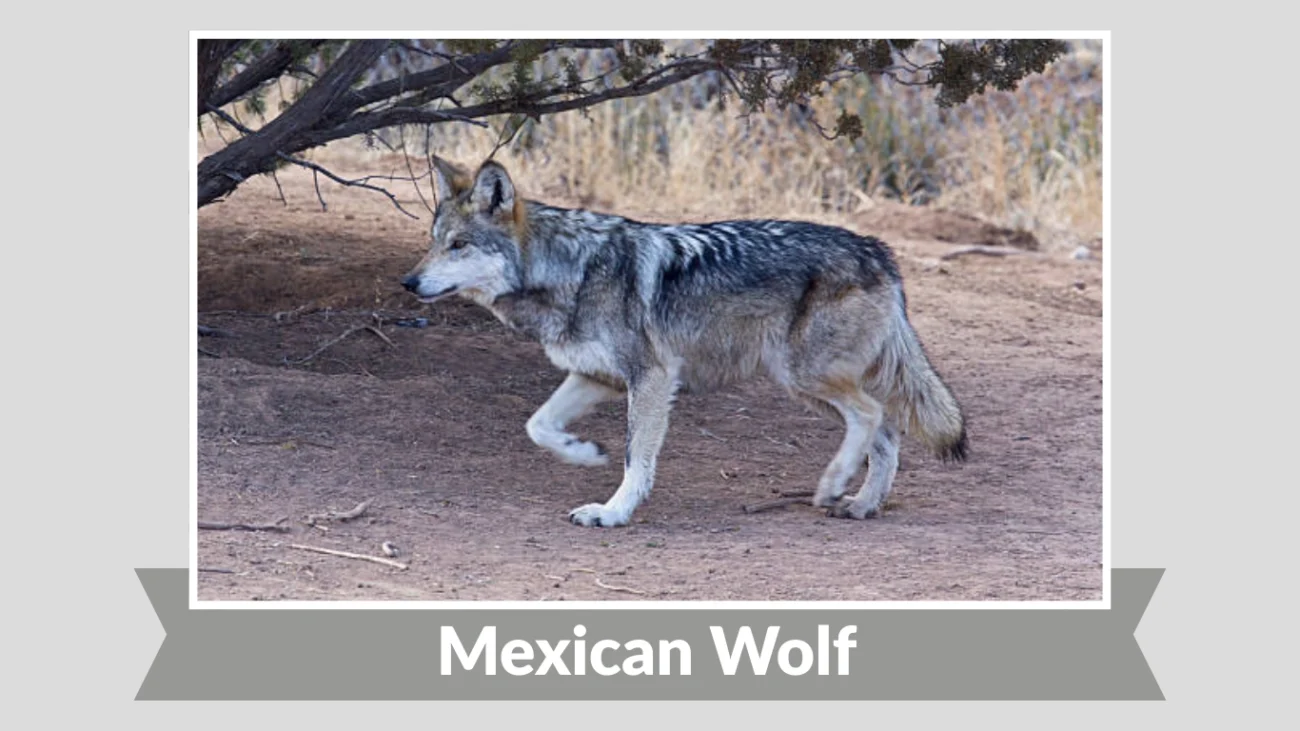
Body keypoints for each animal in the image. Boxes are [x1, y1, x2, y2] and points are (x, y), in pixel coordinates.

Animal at [402, 157, 967, 527]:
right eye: (433, 242)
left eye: (459, 245)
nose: (409, 282)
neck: (571, 270)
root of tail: (878, 250)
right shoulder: (597, 376)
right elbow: (538, 425)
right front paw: (584, 453)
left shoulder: (651, 378)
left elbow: (637, 457)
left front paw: (613, 512)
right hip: (803, 384)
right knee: (886, 431)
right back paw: (862, 504)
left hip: (803, 375)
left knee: (872, 415)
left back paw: (832, 485)